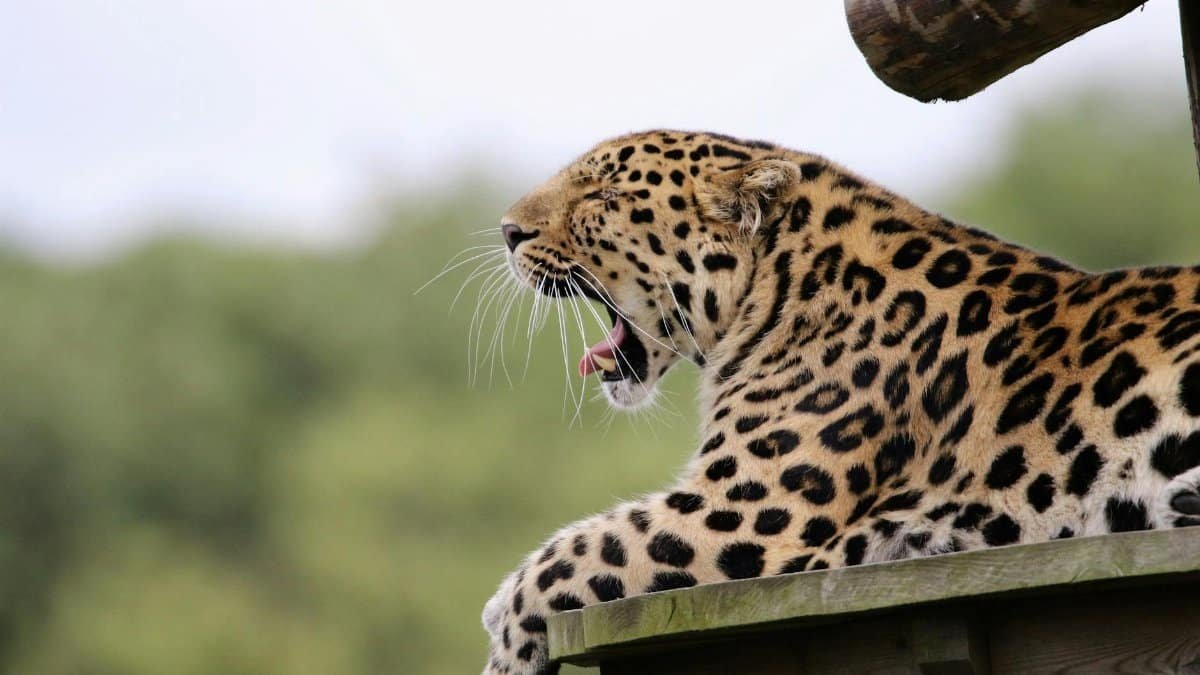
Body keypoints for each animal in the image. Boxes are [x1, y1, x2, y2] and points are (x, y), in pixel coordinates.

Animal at [480, 130, 1200, 675]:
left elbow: (573, 551)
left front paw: (503, 644)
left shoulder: (744, 512)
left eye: (603, 195)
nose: (508, 230)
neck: (779, 286)